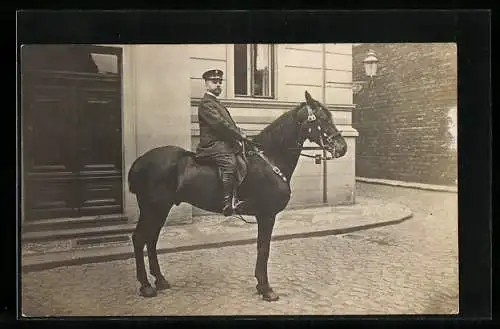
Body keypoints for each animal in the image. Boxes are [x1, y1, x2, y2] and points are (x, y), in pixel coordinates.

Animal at [128, 89, 348, 300]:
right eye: (323, 119)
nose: (343, 147)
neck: (270, 159)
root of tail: (140, 161)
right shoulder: (266, 215)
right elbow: (264, 248)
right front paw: (266, 288)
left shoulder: (264, 216)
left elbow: (261, 247)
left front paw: (260, 285)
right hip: (153, 208)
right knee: (140, 239)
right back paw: (146, 286)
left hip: (160, 209)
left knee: (151, 239)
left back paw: (160, 280)